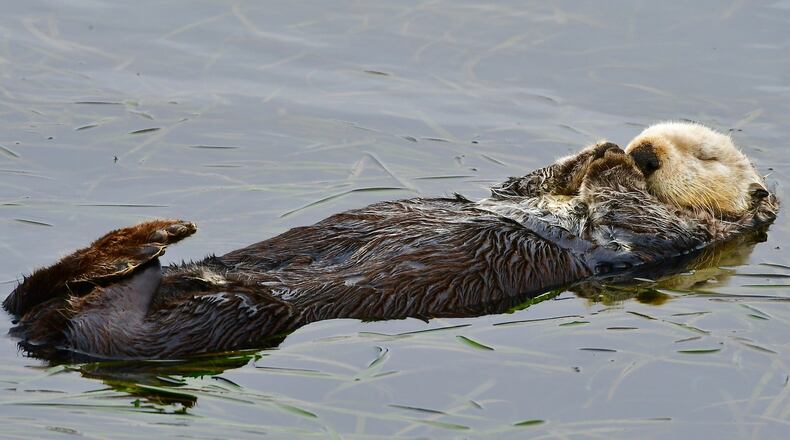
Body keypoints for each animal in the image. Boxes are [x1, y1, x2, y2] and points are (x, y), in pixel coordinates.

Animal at [3, 122, 778, 360]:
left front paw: (614, 167)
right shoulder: (524, 191)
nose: (644, 149)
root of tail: (45, 332)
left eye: (705, 154)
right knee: (31, 292)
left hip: (230, 319)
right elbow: (523, 183)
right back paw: (158, 237)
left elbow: (637, 216)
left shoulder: (667, 240)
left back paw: (156, 244)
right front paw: (596, 151)